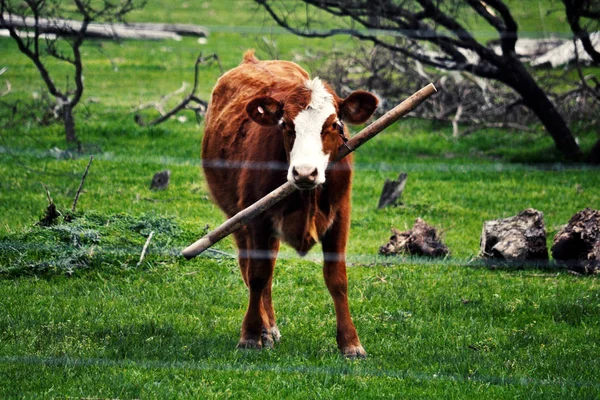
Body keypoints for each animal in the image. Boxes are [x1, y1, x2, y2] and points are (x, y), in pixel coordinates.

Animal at [204, 49, 378, 356]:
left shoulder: (341, 217)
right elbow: (257, 275)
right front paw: (250, 334)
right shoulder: (256, 219)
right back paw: (266, 329)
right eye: (286, 124)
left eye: (333, 125)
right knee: (251, 268)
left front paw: (350, 342)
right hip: (237, 219)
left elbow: (337, 279)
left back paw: (271, 327)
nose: (305, 172)